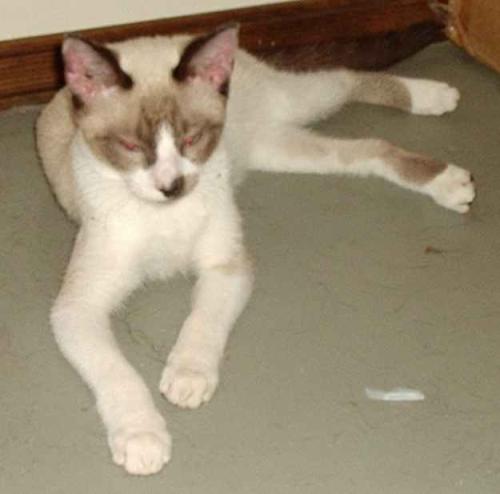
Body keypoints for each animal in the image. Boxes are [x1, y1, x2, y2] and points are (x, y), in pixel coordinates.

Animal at [36, 24, 475, 475]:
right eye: (128, 146)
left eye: (192, 138)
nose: (171, 186)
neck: (164, 214)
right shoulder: (78, 307)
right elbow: (118, 372)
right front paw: (142, 436)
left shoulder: (226, 266)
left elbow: (202, 322)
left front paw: (189, 376)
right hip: (278, 149)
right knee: (368, 149)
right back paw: (443, 163)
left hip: (299, 102)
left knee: (348, 79)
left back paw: (436, 110)